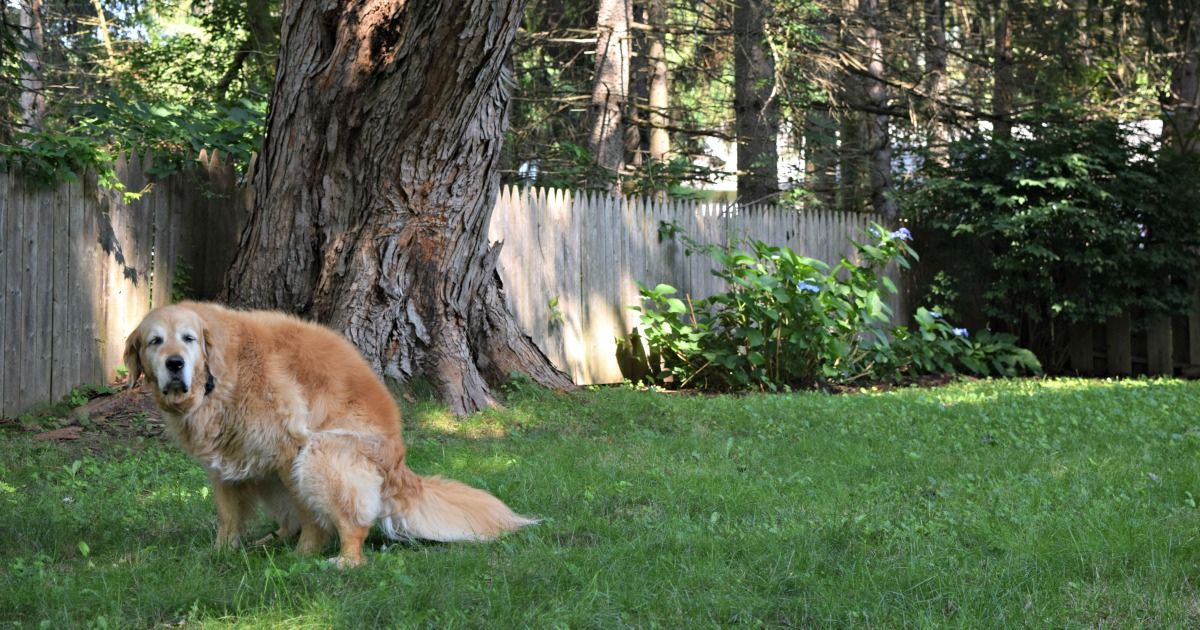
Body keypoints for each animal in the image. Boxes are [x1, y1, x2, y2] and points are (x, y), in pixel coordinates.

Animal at [123, 300, 535, 564]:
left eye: (188, 338)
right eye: (155, 341)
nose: (174, 364)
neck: (220, 377)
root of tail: (399, 468)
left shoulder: (290, 450)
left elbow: (309, 514)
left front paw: (307, 553)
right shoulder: (222, 464)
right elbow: (228, 516)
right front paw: (222, 552)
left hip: (321, 453)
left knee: (353, 529)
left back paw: (339, 562)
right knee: (288, 519)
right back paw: (270, 541)